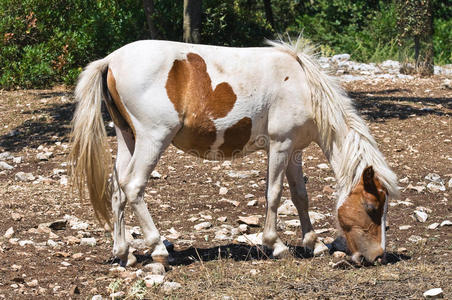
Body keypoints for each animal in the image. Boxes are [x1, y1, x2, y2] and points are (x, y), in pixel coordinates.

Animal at [69, 38, 398, 268]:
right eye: (371, 207)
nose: (378, 256)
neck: (302, 85)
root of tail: (110, 60)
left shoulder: (294, 150)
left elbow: (300, 196)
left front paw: (313, 244)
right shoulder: (280, 145)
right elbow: (274, 194)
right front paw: (275, 245)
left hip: (128, 138)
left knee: (117, 191)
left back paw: (124, 253)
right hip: (153, 138)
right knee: (133, 187)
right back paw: (159, 250)